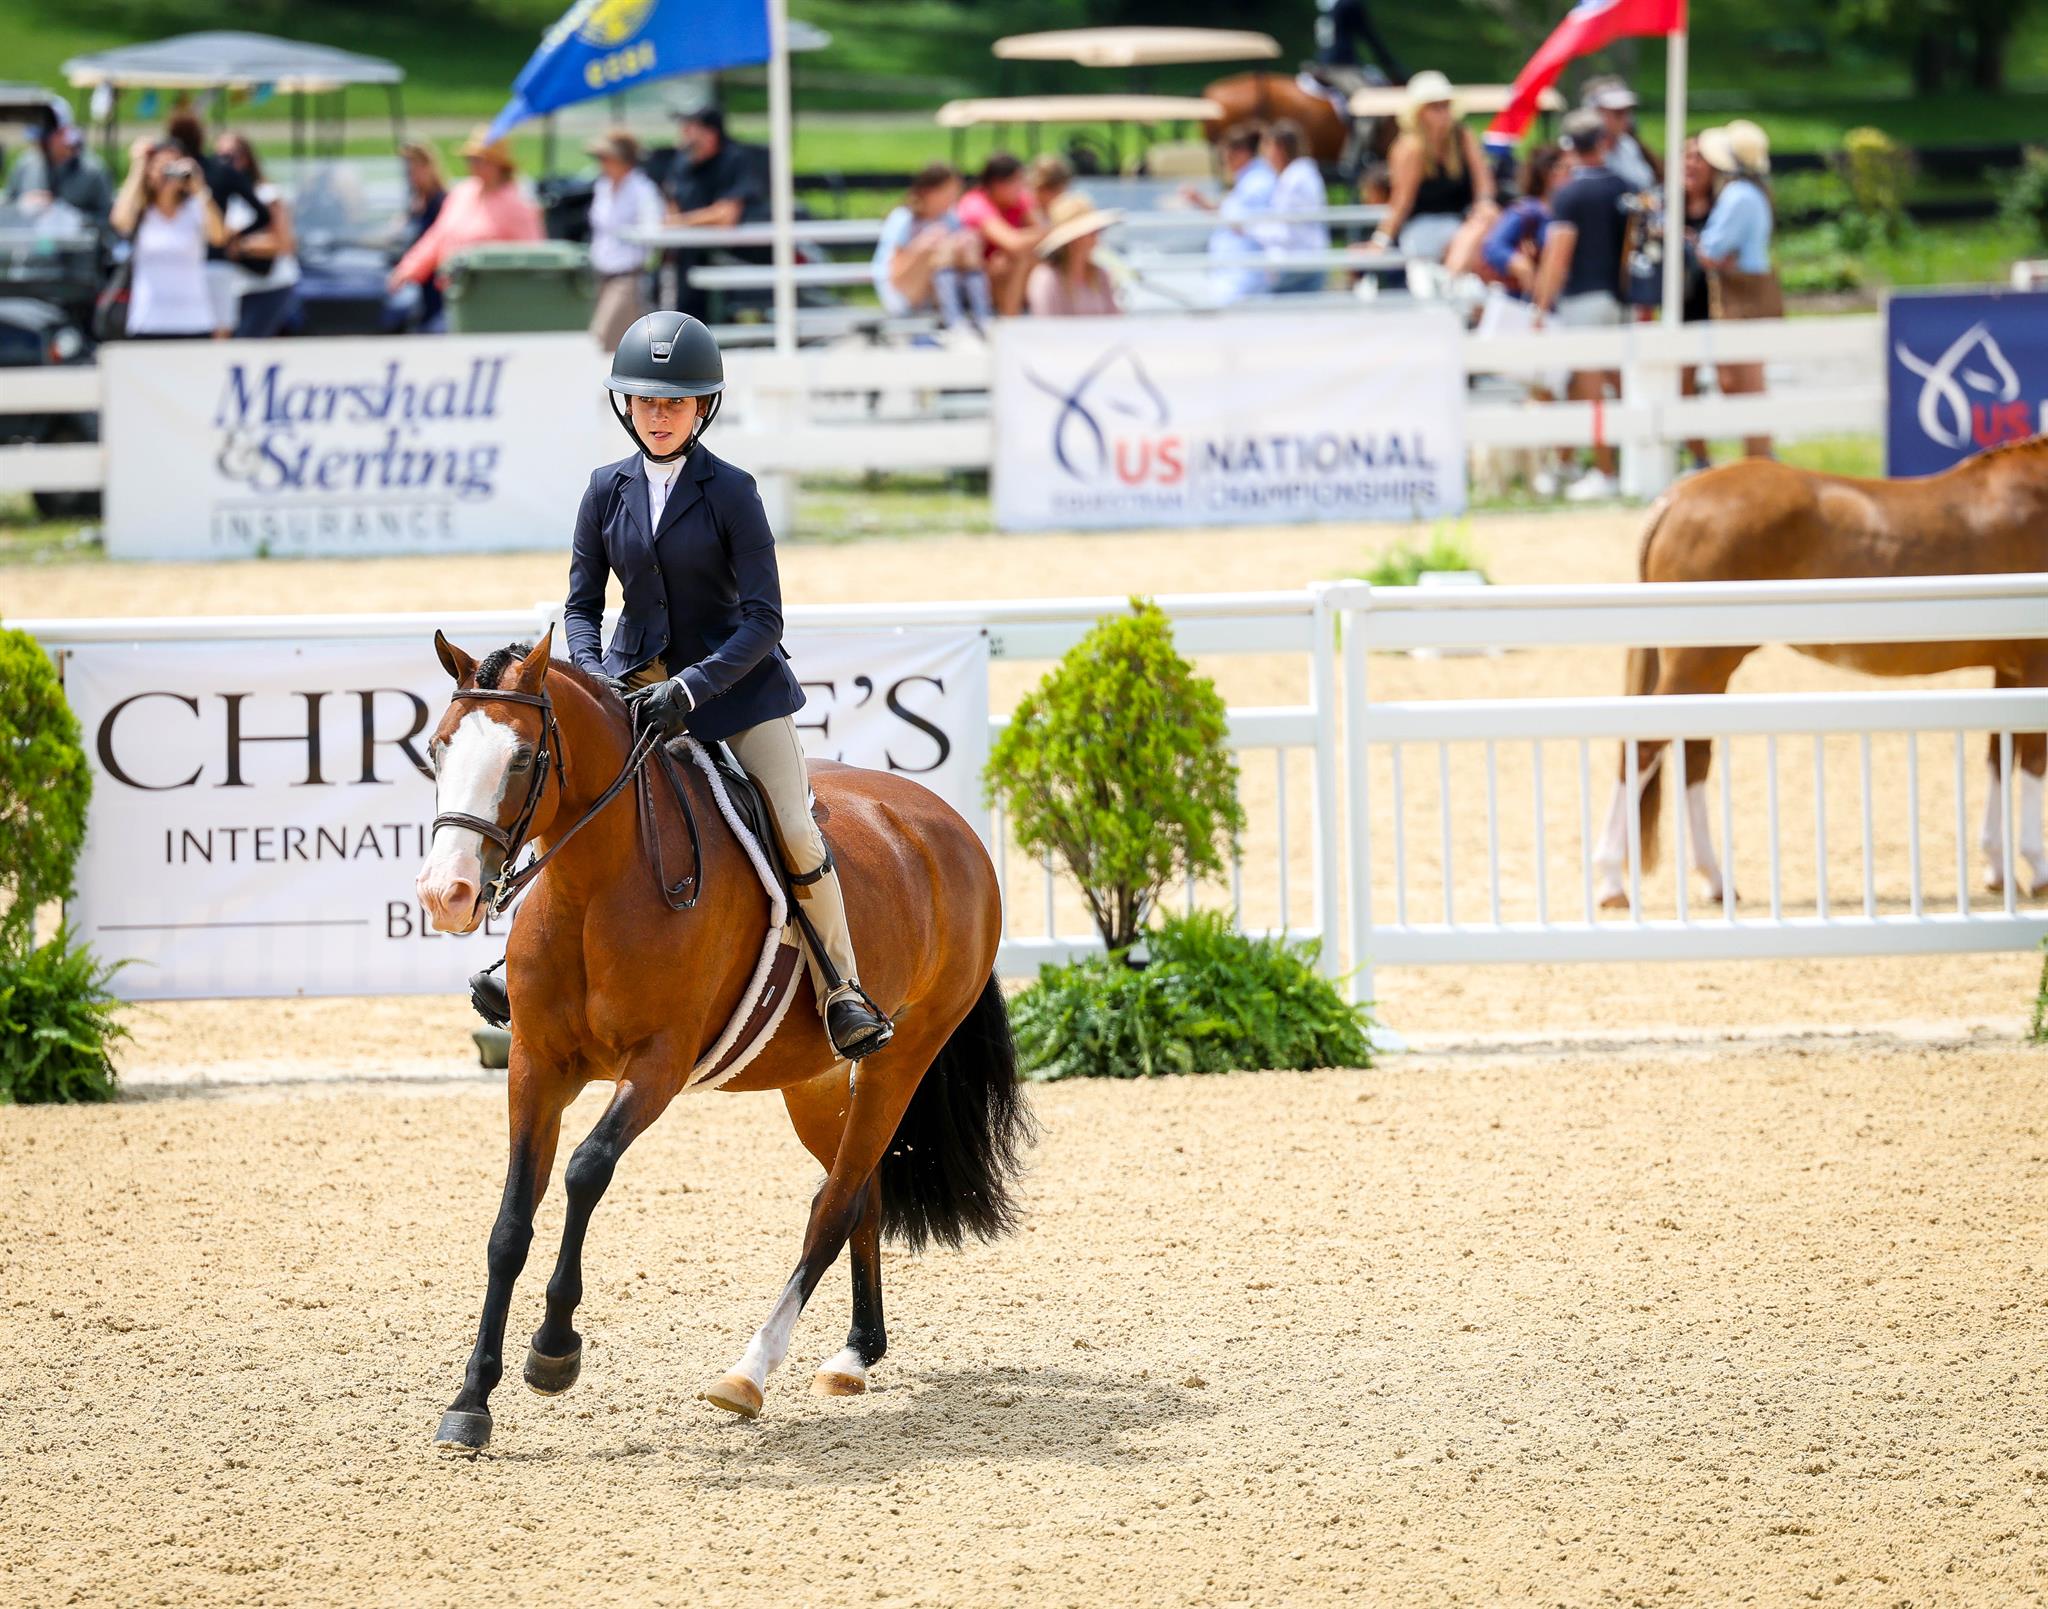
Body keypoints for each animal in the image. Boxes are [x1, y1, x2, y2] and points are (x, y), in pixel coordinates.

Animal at [413, 629, 1030, 1451]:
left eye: (520, 758)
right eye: (437, 749)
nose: (445, 895)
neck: (593, 888)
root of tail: (948, 824)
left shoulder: (658, 1065)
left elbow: (585, 1171)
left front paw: (554, 1351)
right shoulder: (536, 1065)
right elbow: (511, 1223)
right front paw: (472, 1399)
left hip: (899, 1061)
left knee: (834, 1207)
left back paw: (749, 1372)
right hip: (816, 1080)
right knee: (860, 1191)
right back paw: (855, 1354)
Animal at [1594, 442, 2048, 908]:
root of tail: (1676, 498)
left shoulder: (2009, 671)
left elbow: (2000, 757)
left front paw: (1998, 870)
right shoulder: (2036, 665)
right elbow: (2033, 757)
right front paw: (2037, 870)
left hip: (1706, 671)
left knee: (1693, 758)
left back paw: (1716, 881)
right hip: (1697, 664)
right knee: (1644, 748)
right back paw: (1612, 882)